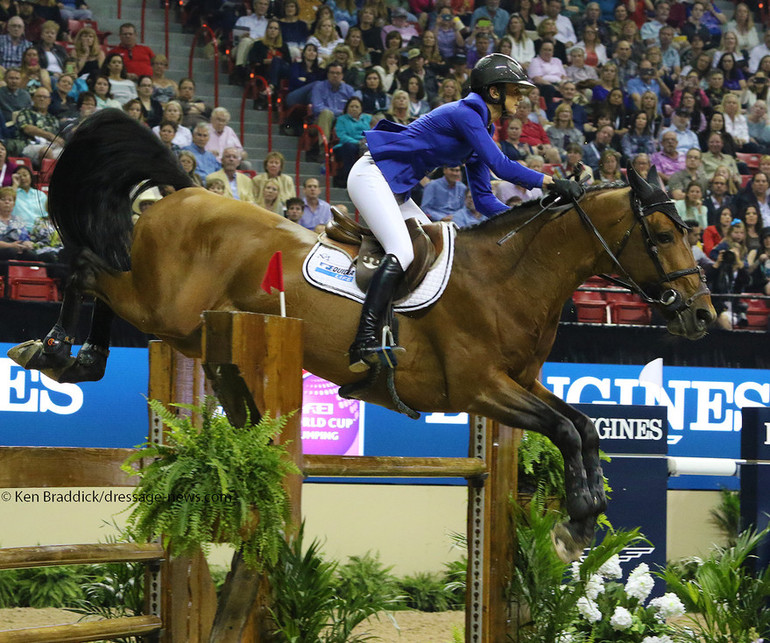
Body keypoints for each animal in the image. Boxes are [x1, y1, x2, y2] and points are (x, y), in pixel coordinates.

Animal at [7, 112, 712, 564]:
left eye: (685, 229)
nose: (704, 317)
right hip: (161, 306)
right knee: (86, 268)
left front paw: (582, 517)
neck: (509, 277)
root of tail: (184, 192)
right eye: (662, 232)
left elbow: (584, 426)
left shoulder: (521, 382)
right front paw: (576, 521)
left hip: (181, 321)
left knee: (97, 274)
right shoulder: (479, 389)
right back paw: (55, 352)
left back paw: (74, 356)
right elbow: (565, 429)